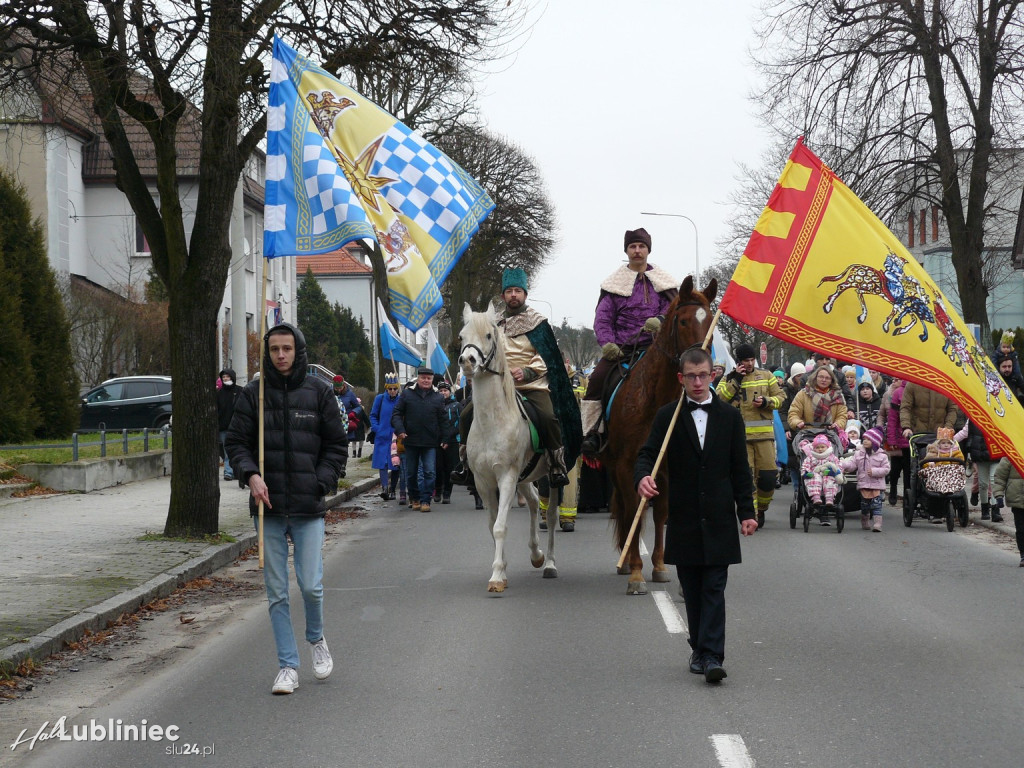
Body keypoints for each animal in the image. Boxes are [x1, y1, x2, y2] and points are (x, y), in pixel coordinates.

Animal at [458, 303, 557, 593]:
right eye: (461, 336)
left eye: (489, 335)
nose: (467, 361)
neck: (493, 421)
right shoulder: (483, 481)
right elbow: (493, 525)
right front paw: (501, 569)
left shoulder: (506, 476)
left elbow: (500, 526)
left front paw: (496, 577)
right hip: (525, 477)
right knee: (534, 502)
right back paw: (536, 555)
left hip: (552, 477)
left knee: (552, 514)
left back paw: (549, 563)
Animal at [602, 276, 716, 593]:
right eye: (683, 321)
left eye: (710, 320)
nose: (701, 362)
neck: (653, 398)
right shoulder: (628, 464)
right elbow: (635, 513)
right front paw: (636, 573)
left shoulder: (665, 466)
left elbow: (662, 513)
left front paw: (660, 566)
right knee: (627, 508)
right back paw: (626, 561)